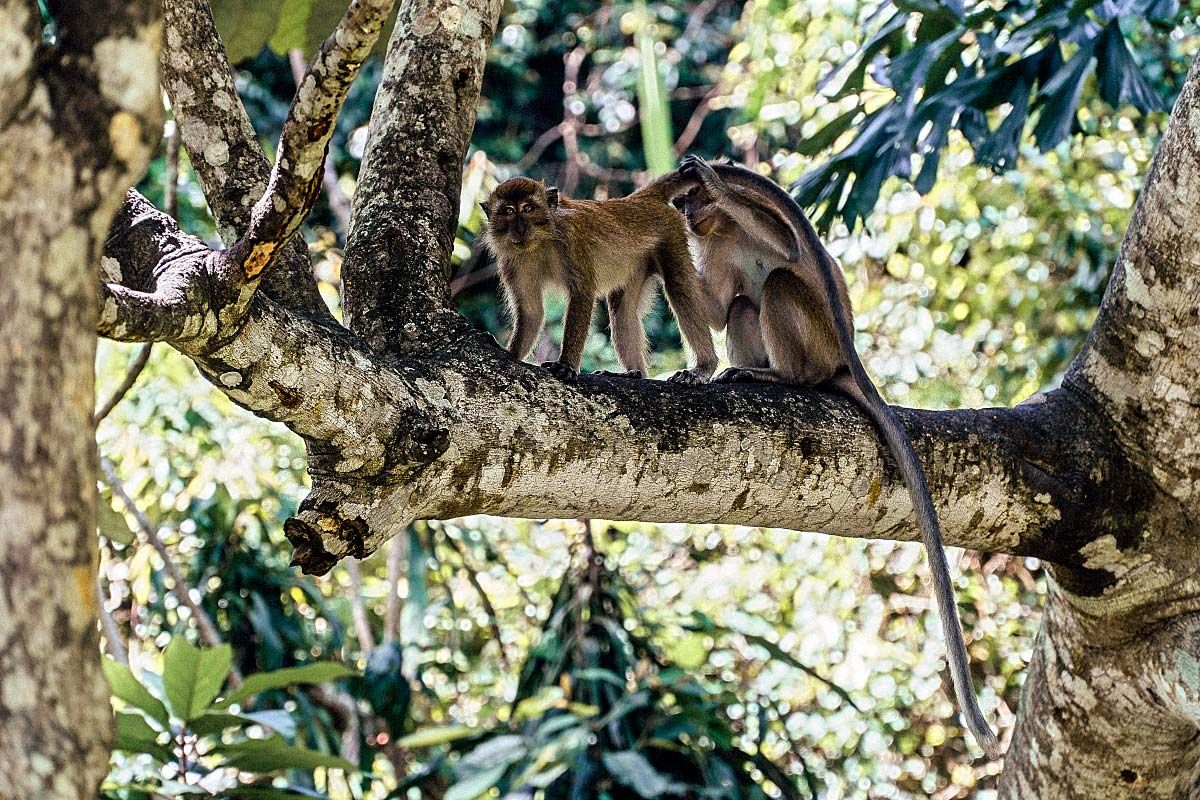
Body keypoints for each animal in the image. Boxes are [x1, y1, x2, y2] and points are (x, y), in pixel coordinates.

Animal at [481, 176, 718, 384]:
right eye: (508, 211)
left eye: (528, 208)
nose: (520, 228)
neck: (540, 242)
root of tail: (638, 200)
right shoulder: (511, 263)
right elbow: (531, 311)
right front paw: (511, 353)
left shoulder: (572, 240)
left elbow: (582, 293)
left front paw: (566, 365)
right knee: (622, 307)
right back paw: (635, 373)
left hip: (670, 235)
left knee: (679, 288)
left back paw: (704, 367)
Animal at [668, 155, 1002, 760]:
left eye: (692, 197)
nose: (685, 212)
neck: (721, 233)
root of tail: (839, 363)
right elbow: (717, 308)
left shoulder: (759, 222)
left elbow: (788, 246)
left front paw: (722, 183)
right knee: (744, 303)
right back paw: (754, 373)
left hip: (820, 342)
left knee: (780, 285)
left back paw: (784, 378)